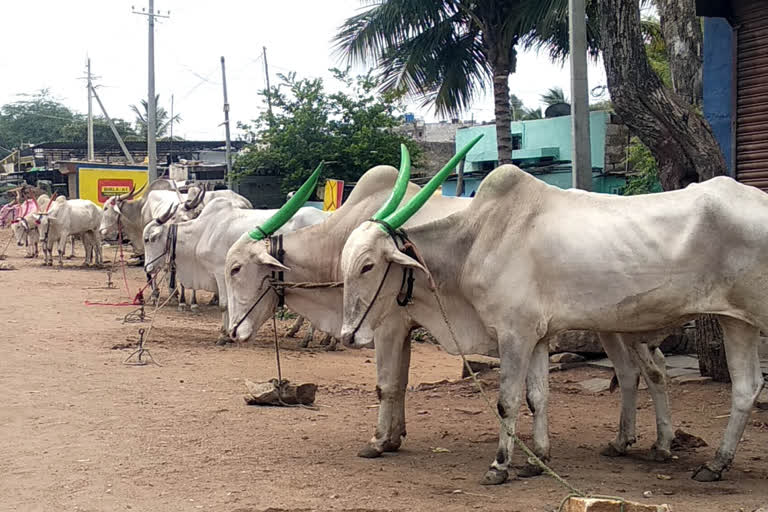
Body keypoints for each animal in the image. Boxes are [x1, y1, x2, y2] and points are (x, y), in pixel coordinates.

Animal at [225, 139, 676, 480]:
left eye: (235, 268)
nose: (231, 332)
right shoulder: (405, 327)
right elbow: (401, 382)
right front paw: (395, 436)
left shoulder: (387, 326)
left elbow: (387, 384)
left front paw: (378, 441)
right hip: (614, 326)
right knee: (638, 373)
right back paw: (632, 442)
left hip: (623, 323)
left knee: (649, 372)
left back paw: (659, 444)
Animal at [340, 143, 768, 484]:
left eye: (367, 265)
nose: (346, 336)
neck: (478, 237)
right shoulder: (539, 336)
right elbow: (537, 397)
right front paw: (537, 460)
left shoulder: (514, 334)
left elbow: (508, 400)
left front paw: (500, 466)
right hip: (736, 321)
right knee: (745, 387)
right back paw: (714, 464)